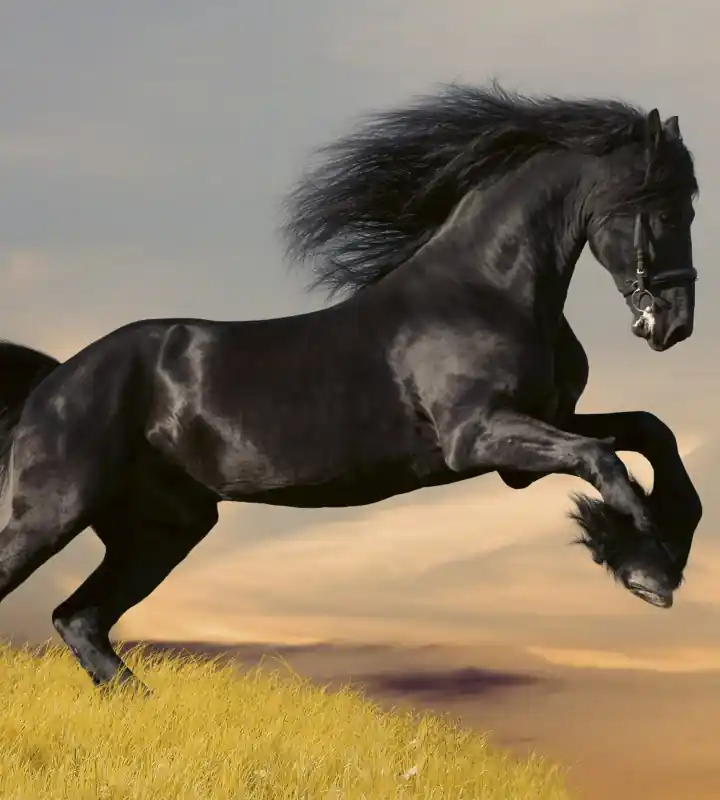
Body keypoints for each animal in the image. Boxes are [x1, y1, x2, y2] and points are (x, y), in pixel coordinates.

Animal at [0, 84, 702, 693]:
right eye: (666, 209)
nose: (675, 324)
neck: (485, 291)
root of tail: (55, 380)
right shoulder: (479, 437)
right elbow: (605, 459)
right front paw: (648, 565)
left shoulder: (534, 437)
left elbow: (648, 431)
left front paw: (657, 553)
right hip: (54, 510)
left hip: (163, 528)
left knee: (79, 619)